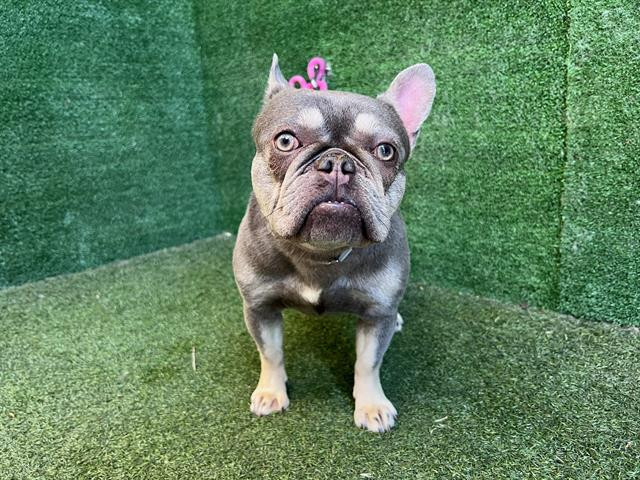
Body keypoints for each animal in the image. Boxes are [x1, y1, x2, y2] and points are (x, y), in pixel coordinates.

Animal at [232, 54, 435, 432]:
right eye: (286, 141)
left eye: (386, 151)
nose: (339, 162)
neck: (319, 253)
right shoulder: (259, 307)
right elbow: (271, 352)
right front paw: (271, 392)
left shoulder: (376, 315)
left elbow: (368, 362)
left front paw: (371, 405)